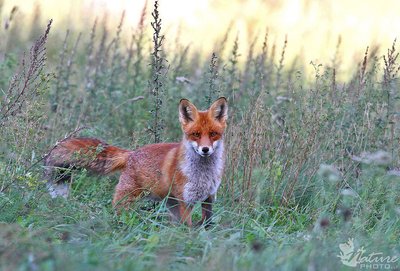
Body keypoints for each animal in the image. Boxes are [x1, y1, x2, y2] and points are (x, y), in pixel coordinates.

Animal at [45, 98, 228, 227]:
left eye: (213, 134)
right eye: (196, 134)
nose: (205, 149)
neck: (203, 174)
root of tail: (131, 154)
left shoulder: (209, 198)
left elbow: (207, 224)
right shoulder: (186, 201)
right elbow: (188, 228)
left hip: (170, 203)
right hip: (128, 199)